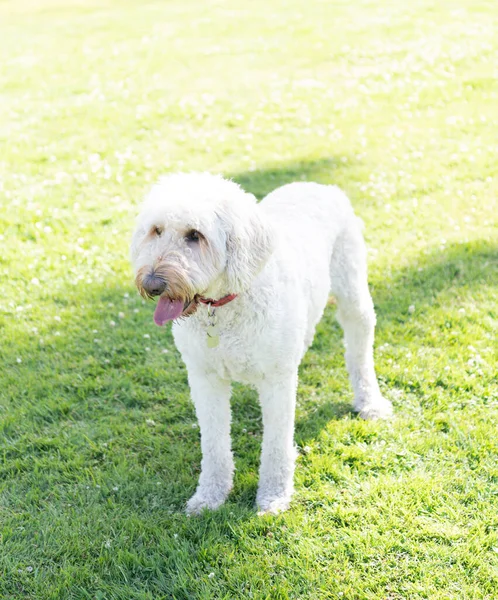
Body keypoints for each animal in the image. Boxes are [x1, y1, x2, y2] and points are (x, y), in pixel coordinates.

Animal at [129, 173, 392, 516]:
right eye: (156, 230)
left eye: (195, 235)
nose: (152, 284)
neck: (225, 304)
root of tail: (319, 185)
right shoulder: (204, 379)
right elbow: (214, 445)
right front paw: (209, 496)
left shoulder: (276, 381)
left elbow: (276, 446)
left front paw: (274, 496)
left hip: (353, 294)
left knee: (359, 348)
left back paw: (370, 402)